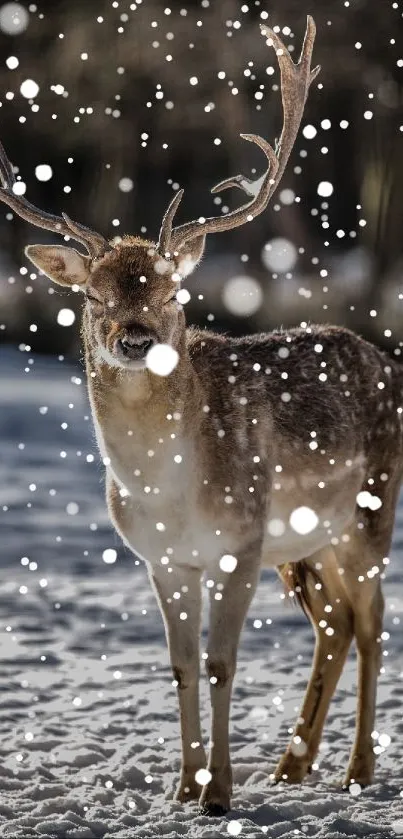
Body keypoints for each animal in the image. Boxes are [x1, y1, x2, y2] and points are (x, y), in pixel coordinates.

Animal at [2, 16, 400, 820]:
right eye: (93, 293)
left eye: (170, 292)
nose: (134, 337)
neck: (169, 490)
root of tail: (390, 363)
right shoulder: (163, 558)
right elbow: (182, 665)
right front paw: (181, 787)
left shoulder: (238, 543)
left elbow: (221, 662)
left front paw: (218, 791)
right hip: (305, 544)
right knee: (336, 623)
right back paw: (291, 765)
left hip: (370, 513)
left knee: (374, 624)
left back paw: (356, 769)